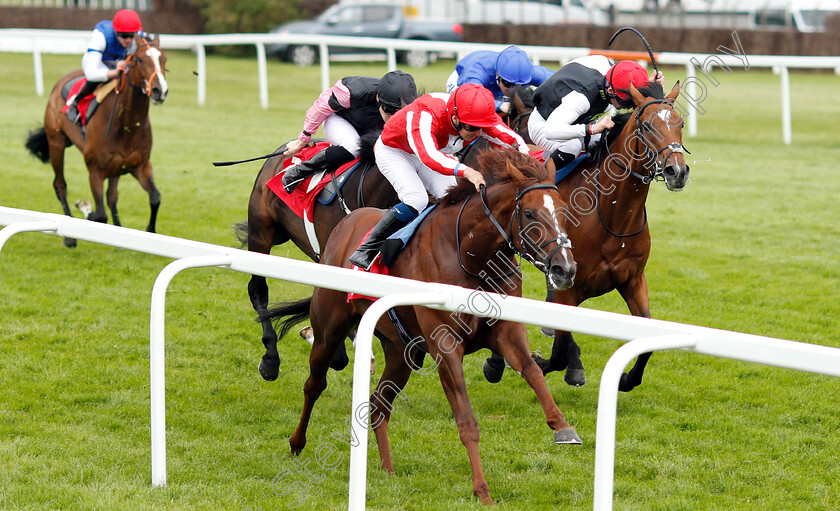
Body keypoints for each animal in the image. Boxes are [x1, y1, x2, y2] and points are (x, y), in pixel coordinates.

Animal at [24, 34, 167, 248]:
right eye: (140, 59)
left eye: (164, 59)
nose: (160, 91)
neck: (126, 125)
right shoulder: (95, 170)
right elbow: (99, 216)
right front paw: (85, 211)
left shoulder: (140, 165)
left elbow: (154, 198)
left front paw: (149, 232)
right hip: (56, 142)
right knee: (60, 185)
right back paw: (70, 238)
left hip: (116, 167)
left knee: (112, 197)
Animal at [482, 81, 692, 392]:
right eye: (647, 126)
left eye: (680, 124)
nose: (677, 171)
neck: (613, 216)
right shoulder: (570, 289)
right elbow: (558, 353)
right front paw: (538, 361)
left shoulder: (632, 279)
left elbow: (647, 336)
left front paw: (626, 378)